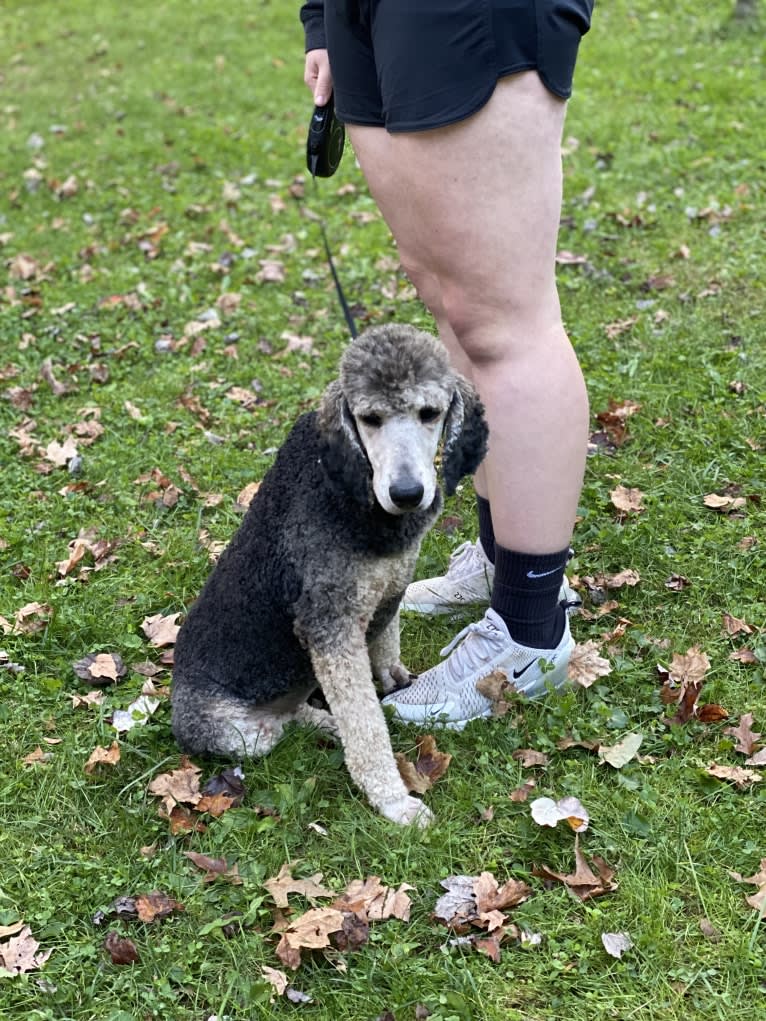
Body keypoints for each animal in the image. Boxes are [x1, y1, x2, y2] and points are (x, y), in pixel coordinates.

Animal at [171, 322, 488, 824]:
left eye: (430, 413)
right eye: (370, 418)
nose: (406, 493)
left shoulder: (389, 589)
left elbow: (386, 643)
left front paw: (395, 678)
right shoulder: (329, 625)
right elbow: (365, 724)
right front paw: (393, 800)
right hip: (238, 733)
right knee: (278, 728)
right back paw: (323, 722)